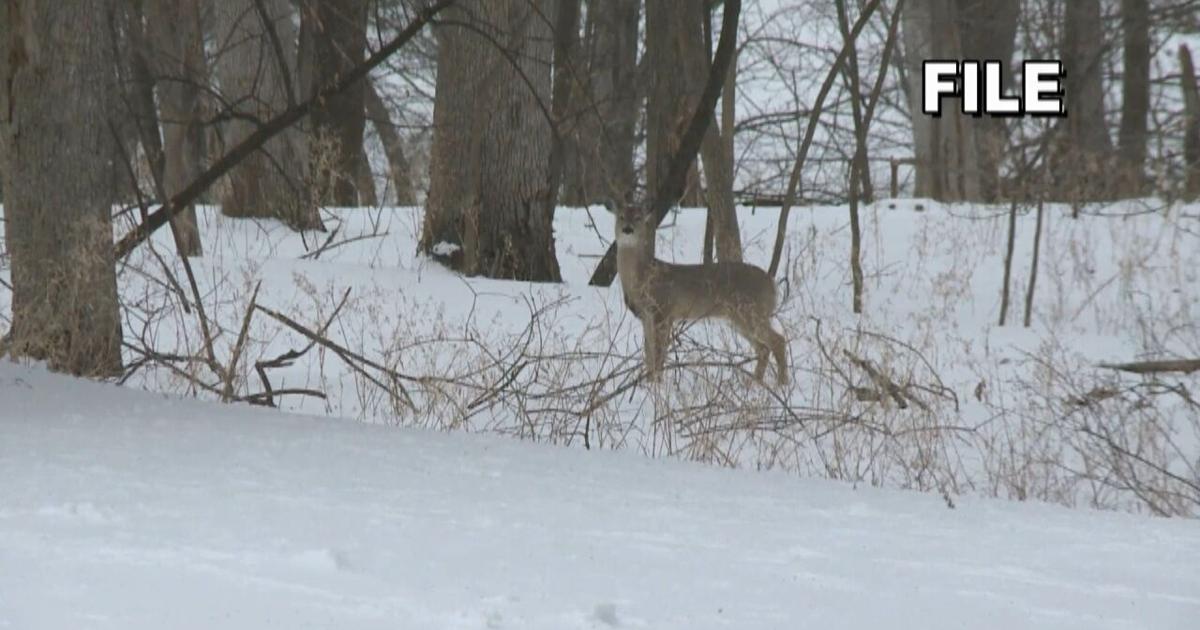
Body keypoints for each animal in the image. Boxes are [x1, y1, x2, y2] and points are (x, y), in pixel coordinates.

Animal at [607, 201, 788, 385]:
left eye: (638, 218)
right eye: (621, 216)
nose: (627, 229)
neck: (643, 277)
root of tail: (772, 284)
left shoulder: (663, 310)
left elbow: (658, 354)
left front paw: (657, 384)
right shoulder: (646, 316)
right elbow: (649, 354)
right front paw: (649, 383)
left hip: (751, 311)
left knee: (778, 341)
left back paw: (781, 384)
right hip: (739, 318)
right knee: (764, 348)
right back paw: (753, 384)